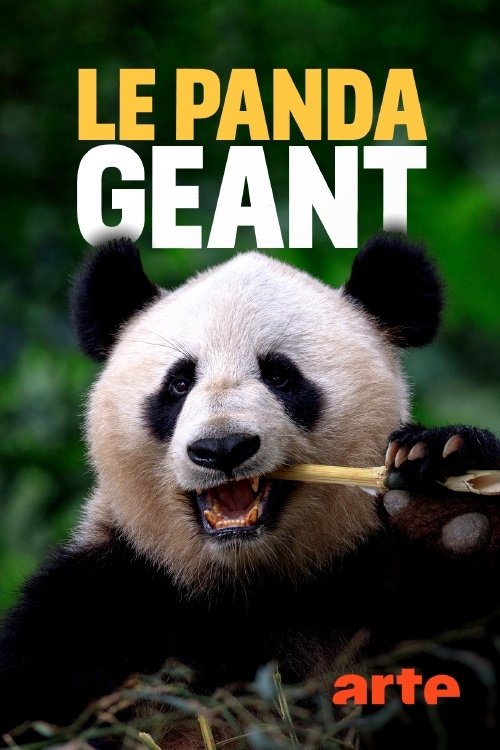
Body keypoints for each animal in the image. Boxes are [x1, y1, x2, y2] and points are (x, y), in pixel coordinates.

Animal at [1, 233, 500, 749]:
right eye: (179, 383)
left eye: (280, 375)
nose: (222, 448)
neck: (245, 589)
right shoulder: (97, 606)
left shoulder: (368, 590)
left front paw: (445, 492)